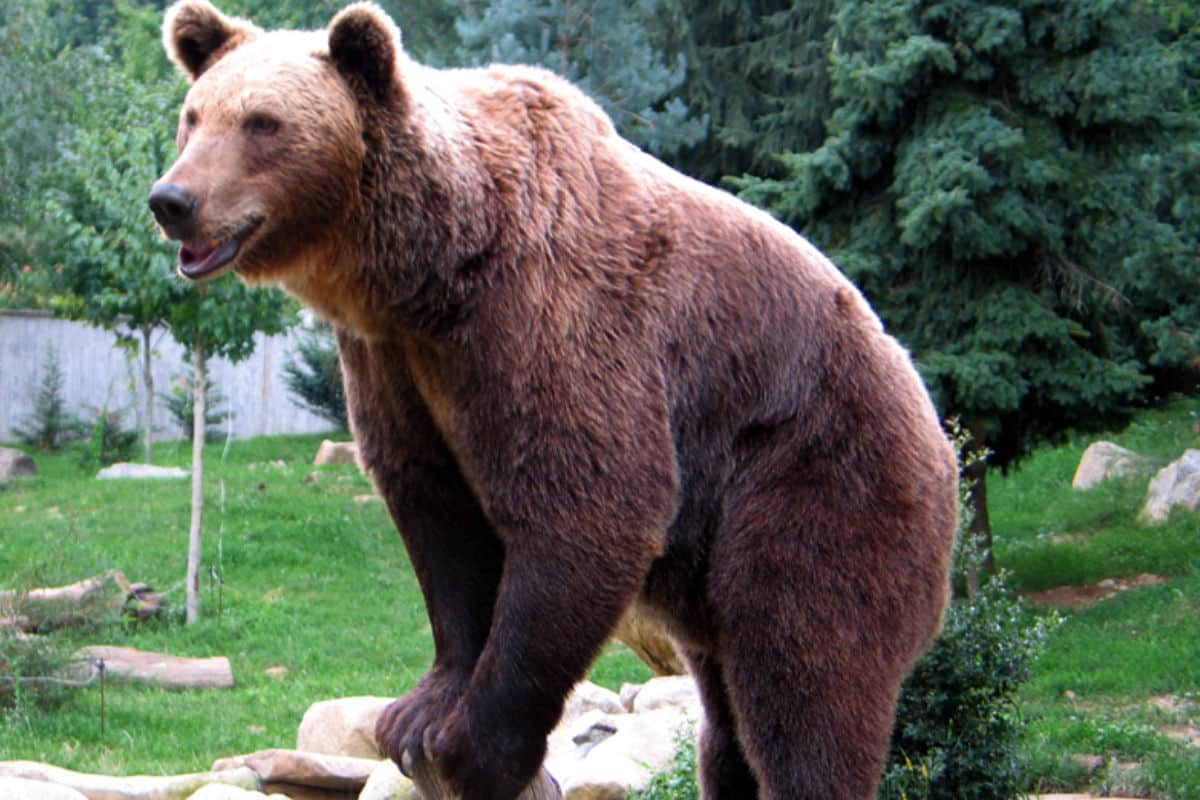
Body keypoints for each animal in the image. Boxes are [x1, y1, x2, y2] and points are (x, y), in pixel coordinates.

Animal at [147, 3, 955, 796]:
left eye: (263, 123)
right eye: (194, 115)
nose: (172, 200)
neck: (431, 270)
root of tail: (936, 428)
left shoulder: (548, 318)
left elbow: (589, 504)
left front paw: (474, 745)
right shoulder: (395, 363)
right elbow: (438, 513)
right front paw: (419, 711)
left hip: (815, 477)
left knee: (801, 674)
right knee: (726, 719)